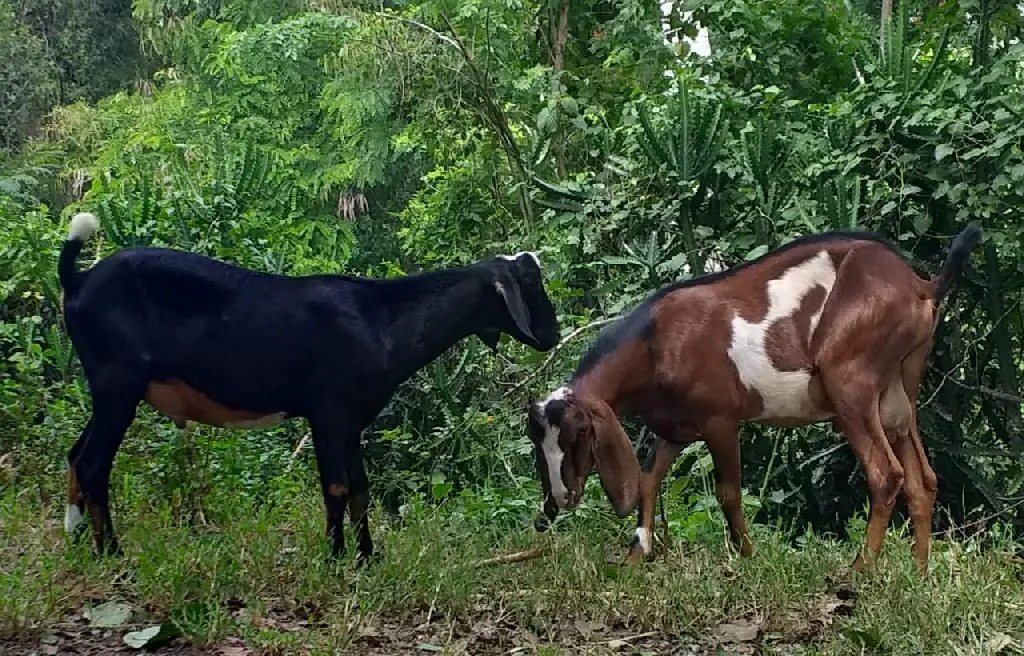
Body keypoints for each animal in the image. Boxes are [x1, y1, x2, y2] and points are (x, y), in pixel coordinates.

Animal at [58, 212, 561, 560]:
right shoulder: (327, 413)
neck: (378, 320)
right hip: (118, 383)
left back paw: (78, 542)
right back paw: (111, 552)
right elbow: (336, 487)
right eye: (530, 281)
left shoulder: (351, 422)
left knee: (75, 455)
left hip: (108, 391)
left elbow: (360, 490)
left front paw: (367, 558)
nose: (552, 334)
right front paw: (335, 558)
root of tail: (76, 281)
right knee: (92, 464)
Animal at [528, 224, 983, 569]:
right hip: (899, 389)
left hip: (850, 382)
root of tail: (921, 286)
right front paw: (637, 554)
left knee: (886, 474)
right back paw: (918, 573)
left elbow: (728, 493)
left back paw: (859, 570)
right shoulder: (676, 429)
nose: (560, 499)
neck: (655, 343)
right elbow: (648, 480)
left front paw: (745, 556)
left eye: (579, 434)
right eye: (537, 443)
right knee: (923, 479)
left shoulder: (720, 420)